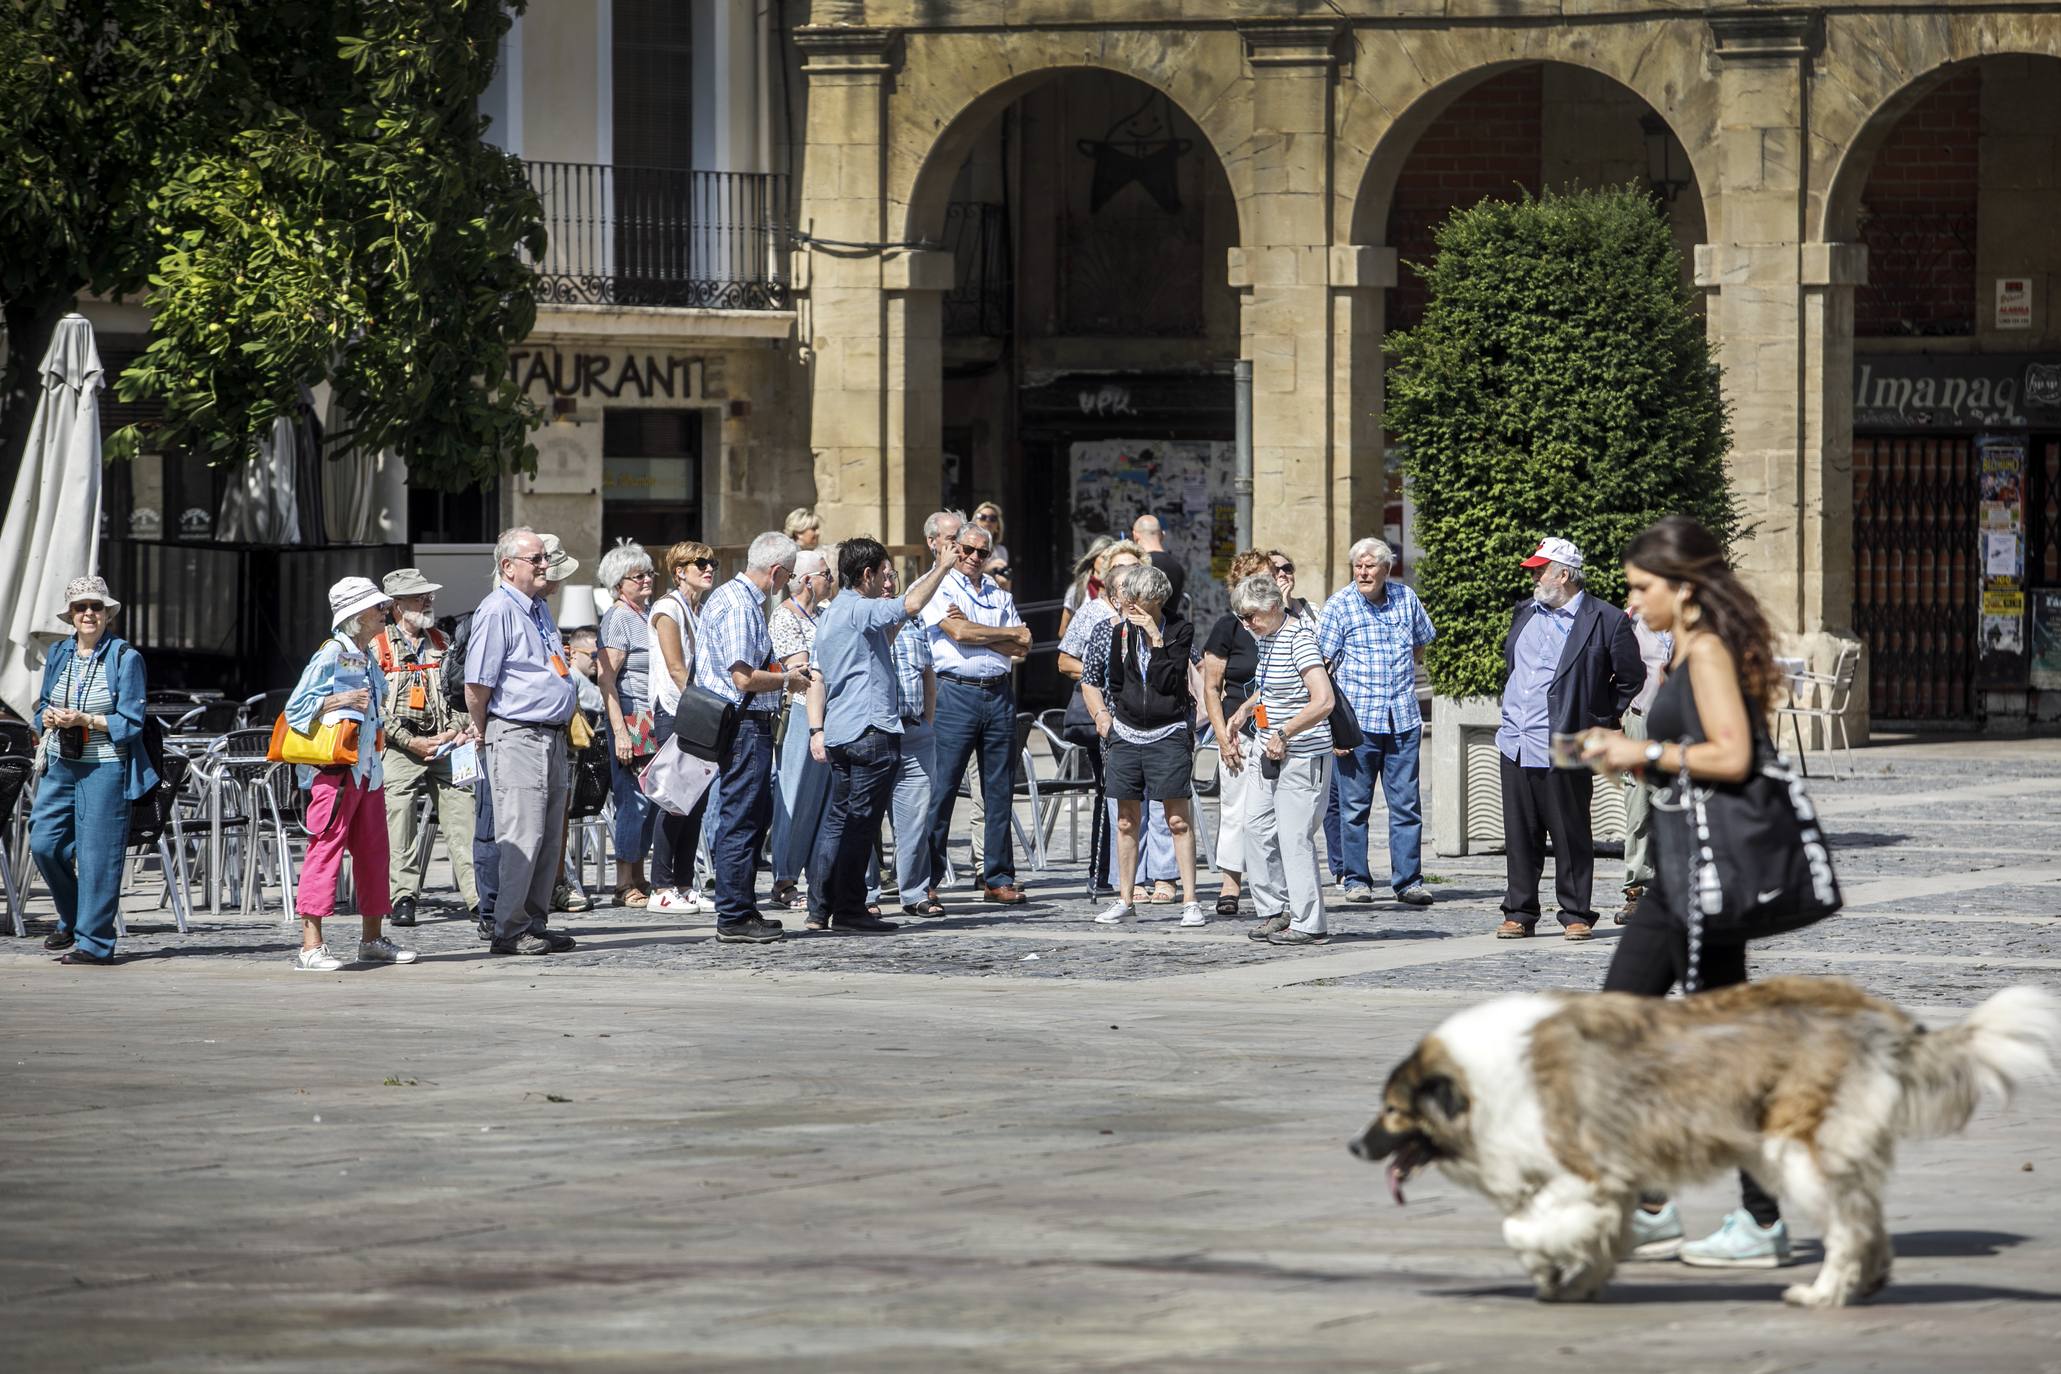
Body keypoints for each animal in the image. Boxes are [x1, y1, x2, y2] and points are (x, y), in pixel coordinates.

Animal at [1352, 976, 2061, 1310]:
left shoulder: (1583, 1173)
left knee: (1849, 1228)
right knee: (1867, 1214)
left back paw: (1824, 1294)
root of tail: (1882, 1019)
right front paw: (1573, 1279)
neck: (1479, 1083)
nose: (1356, 1149)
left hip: (1793, 1153)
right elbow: (1589, 1236)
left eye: (1391, 1111)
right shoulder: (1612, 1182)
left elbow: (1522, 1228)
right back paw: (1870, 1280)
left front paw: (1550, 1265)